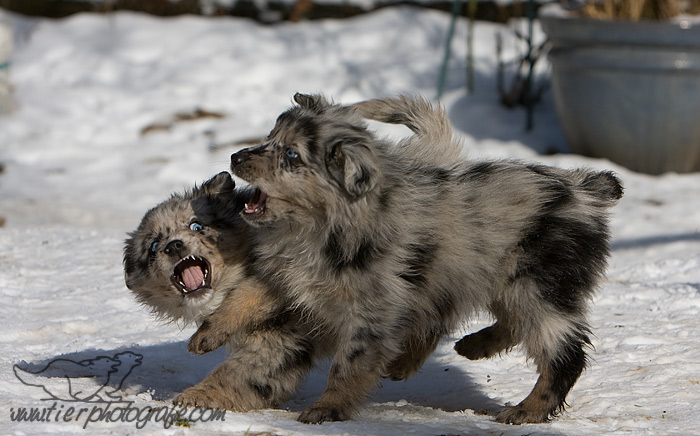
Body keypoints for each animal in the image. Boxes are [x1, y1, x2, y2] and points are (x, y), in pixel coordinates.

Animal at [124, 172, 318, 410]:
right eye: (153, 246)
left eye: (196, 226)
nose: (173, 245)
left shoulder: (286, 329)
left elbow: (242, 370)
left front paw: (194, 396)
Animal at [230, 93, 624, 424]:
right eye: (269, 138)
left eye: (291, 155)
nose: (235, 157)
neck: (320, 226)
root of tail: (584, 189)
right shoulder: (290, 282)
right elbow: (245, 301)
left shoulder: (371, 313)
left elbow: (348, 365)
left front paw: (327, 407)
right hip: (498, 277)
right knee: (512, 323)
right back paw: (470, 347)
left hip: (539, 283)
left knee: (563, 353)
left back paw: (529, 410)